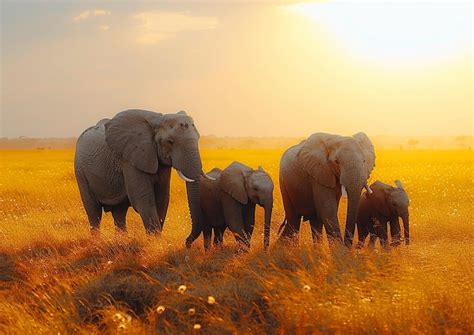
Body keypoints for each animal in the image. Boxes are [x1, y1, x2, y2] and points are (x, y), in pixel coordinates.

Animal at [74, 110, 211, 247]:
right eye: (170, 142)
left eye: (199, 138)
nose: (187, 243)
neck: (158, 120)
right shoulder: (130, 159)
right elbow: (143, 200)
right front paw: (155, 243)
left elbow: (162, 199)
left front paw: (156, 242)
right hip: (81, 171)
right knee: (93, 211)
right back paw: (96, 242)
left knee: (119, 211)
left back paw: (121, 242)